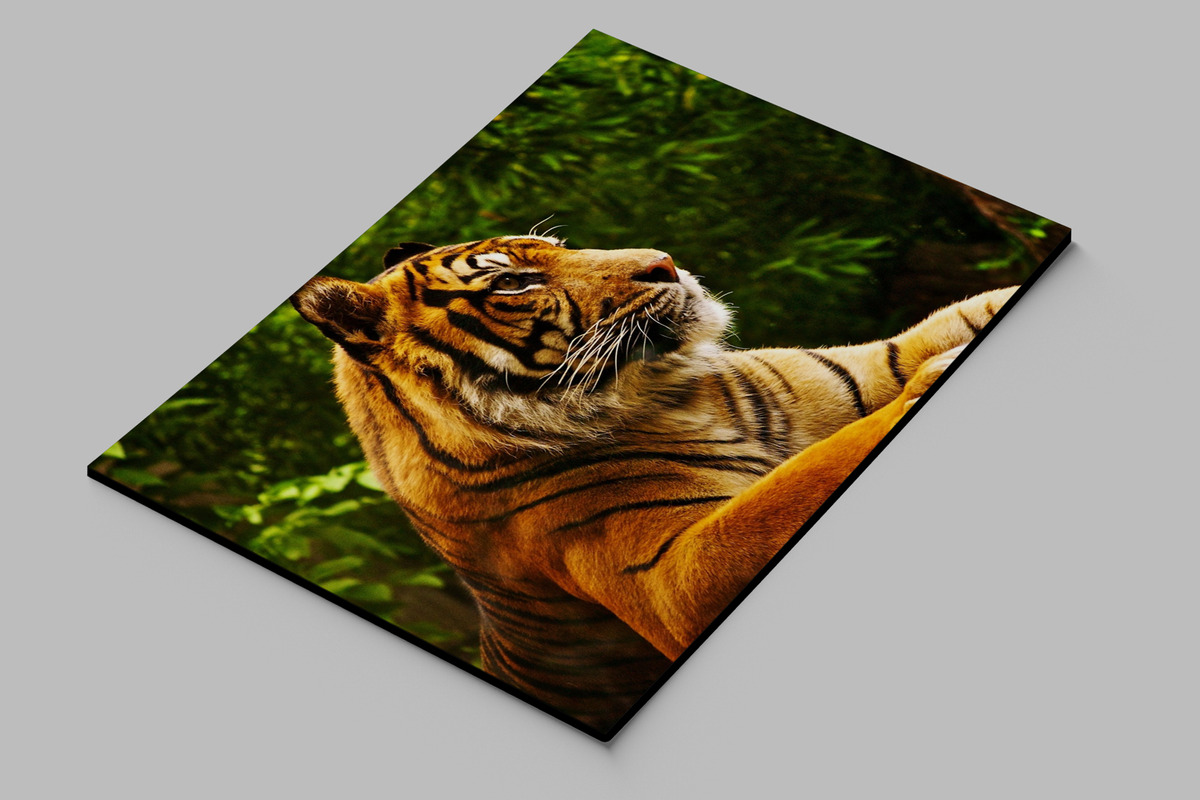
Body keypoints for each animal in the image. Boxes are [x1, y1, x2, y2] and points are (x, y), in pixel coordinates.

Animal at [291, 235, 1015, 736]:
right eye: (515, 282)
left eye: (558, 246)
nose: (665, 263)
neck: (666, 395)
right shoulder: (682, 573)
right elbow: (802, 478)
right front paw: (931, 377)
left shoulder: (863, 366)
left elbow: (950, 322)